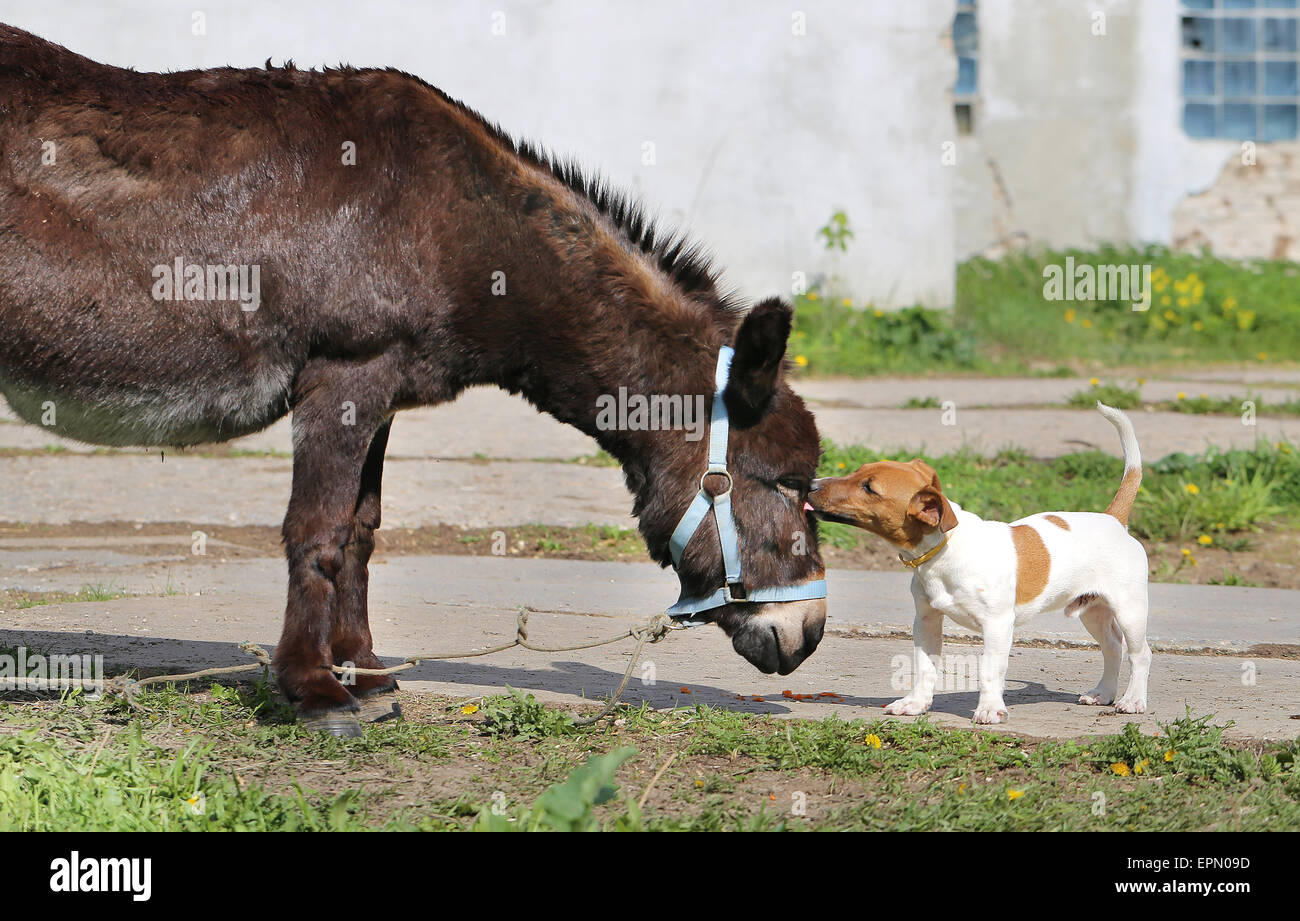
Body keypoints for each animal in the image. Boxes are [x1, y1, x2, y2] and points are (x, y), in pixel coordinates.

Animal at [806, 403, 1154, 728]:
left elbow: (989, 670)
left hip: (1129, 609)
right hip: (1092, 610)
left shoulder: (998, 625)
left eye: (869, 488)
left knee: (1140, 653)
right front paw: (915, 704)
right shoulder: (926, 620)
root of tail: (1113, 519)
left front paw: (989, 709)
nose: (810, 484)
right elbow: (924, 667)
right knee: (1112, 647)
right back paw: (1104, 693)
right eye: (857, 471)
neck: (945, 549)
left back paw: (1132, 700)